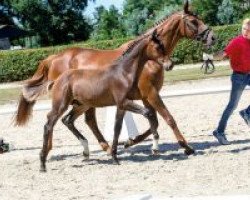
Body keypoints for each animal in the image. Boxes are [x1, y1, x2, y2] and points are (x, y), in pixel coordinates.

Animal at [15, 0, 215, 155]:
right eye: (193, 21)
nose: (212, 37)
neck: (146, 59)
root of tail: (54, 57)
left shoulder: (145, 96)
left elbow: (154, 121)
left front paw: (132, 142)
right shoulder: (151, 93)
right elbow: (168, 118)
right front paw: (186, 147)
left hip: (84, 102)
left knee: (76, 120)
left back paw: (101, 147)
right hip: (73, 101)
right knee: (67, 120)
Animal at [39, 29, 171, 172]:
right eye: (158, 47)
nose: (170, 64)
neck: (123, 73)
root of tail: (56, 80)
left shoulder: (122, 106)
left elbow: (117, 128)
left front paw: (115, 157)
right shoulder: (124, 102)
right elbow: (148, 113)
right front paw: (154, 145)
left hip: (82, 105)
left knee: (67, 120)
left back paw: (85, 151)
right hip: (61, 105)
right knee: (49, 124)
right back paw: (42, 163)